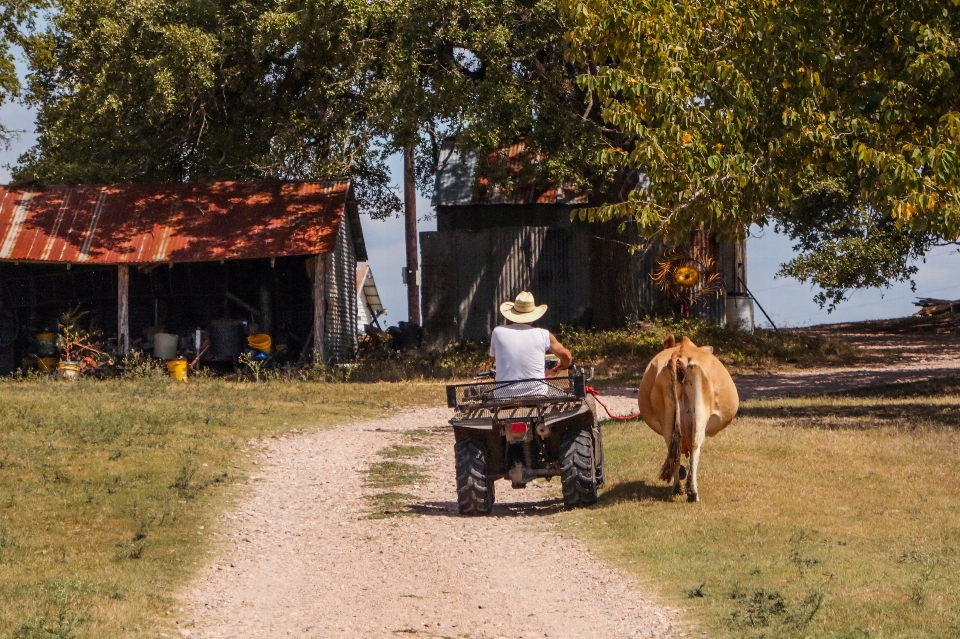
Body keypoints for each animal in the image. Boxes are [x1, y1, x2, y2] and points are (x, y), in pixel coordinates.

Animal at [640, 332, 740, 502]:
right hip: (700, 409)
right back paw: (693, 492)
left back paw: (677, 488)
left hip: (667, 413)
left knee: (673, 446)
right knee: (695, 445)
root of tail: (680, 354)